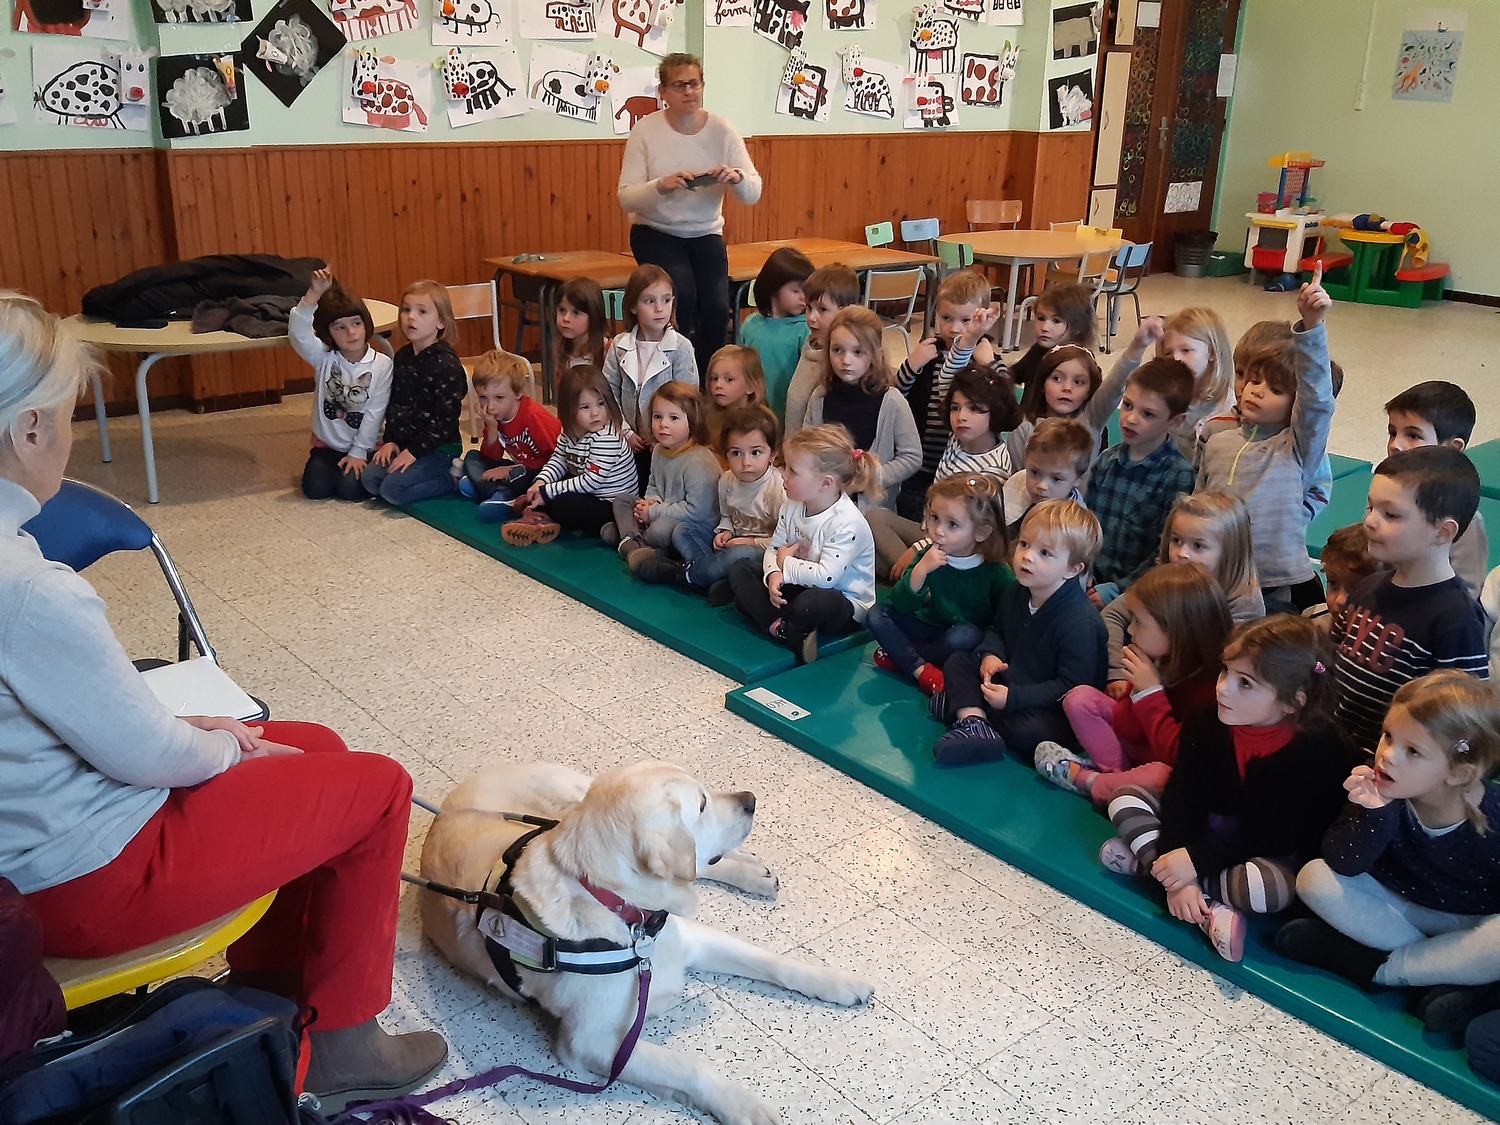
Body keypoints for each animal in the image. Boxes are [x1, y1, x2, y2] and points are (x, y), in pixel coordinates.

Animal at [420, 760, 874, 1125]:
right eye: (702, 804)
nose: (751, 799)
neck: (626, 916)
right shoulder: (591, 1042)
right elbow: (690, 1066)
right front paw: (744, 1105)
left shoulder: (692, 938)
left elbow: (773, 962)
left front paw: (838, 982)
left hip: (567, 795)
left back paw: (751, 873)